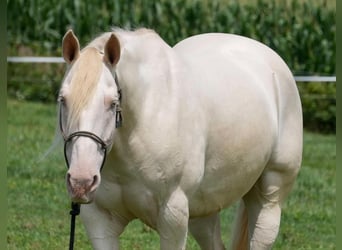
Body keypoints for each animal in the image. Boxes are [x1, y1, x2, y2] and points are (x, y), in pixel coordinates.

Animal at [58, 27, 302, 250]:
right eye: (63, 100)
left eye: (112, 103)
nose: (81, 182)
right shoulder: (99, 220)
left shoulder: (173, 216)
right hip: (203, 210)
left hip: (270, 195)